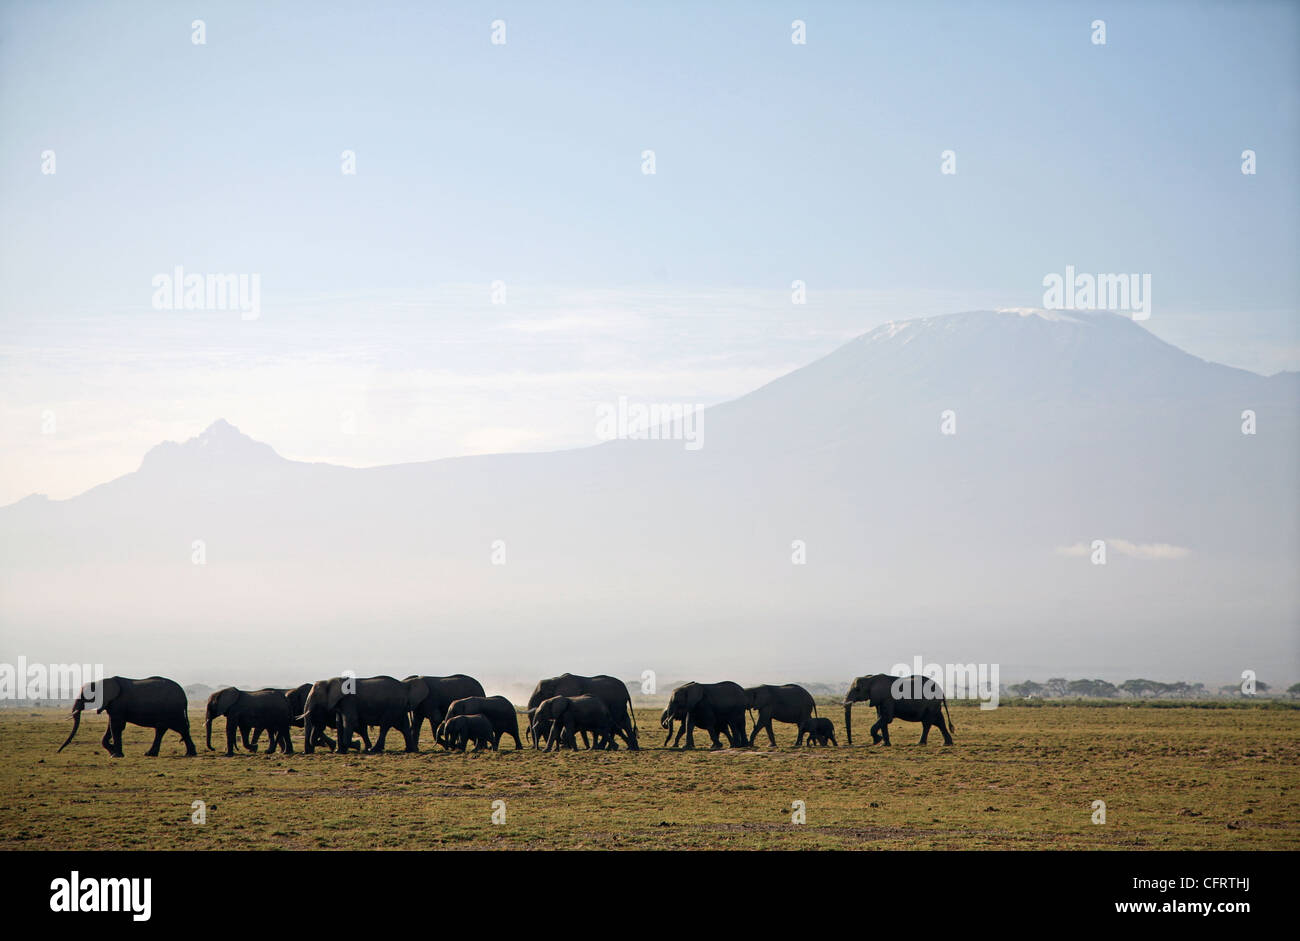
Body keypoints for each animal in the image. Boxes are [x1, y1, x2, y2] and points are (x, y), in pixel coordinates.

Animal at [56, 675, 195, 759]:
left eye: (86, 697)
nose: (58, 751)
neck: (102, 681)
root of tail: (184, 696)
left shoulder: (118, 703)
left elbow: (116, 726)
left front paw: (116, 755)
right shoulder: (112, 705)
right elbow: (111, 726)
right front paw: (113, 751)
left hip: (172, 709)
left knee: (178, 727)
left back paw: (188, 754)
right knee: (168, 729)